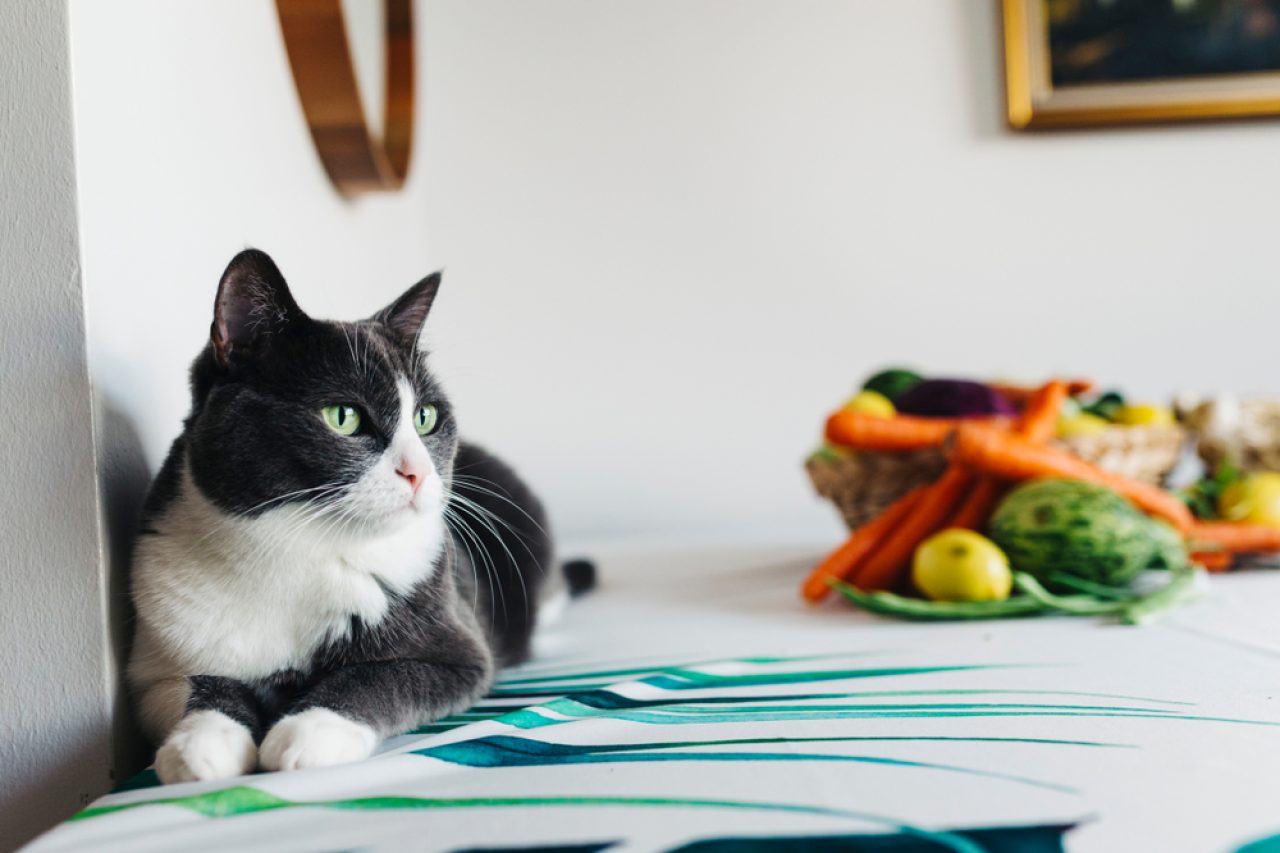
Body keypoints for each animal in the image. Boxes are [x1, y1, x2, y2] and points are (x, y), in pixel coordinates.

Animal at [124, 249, 586, 778]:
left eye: (425, 417)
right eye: (343, 417)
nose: (418, 472)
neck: (291, 548)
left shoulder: (460, 649)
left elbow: (377, 677)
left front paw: (310, 731)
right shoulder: (154, 665)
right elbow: (194, 688)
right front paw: (201, 744)